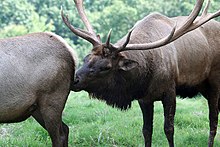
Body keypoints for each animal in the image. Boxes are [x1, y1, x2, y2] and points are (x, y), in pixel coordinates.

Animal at [62, 0, 220, 146]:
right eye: (86, 58)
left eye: (106, 67)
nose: (74, 79)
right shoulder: (144, 98)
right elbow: (146, 130)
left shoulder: (170, 91)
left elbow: (169, 129)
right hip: (203, 87)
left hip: (214, 82)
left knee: (213, 119)